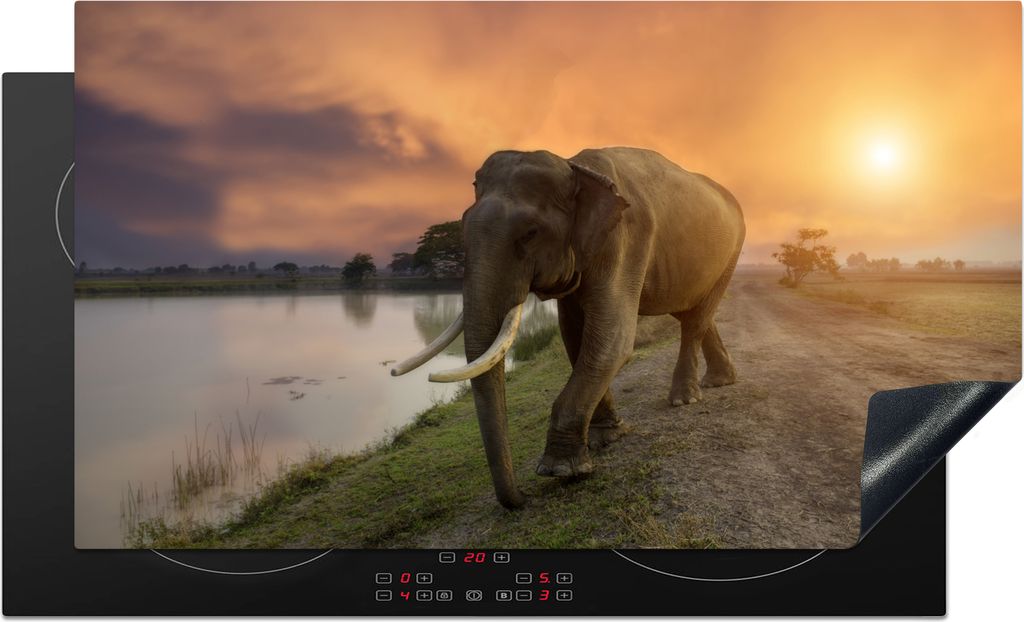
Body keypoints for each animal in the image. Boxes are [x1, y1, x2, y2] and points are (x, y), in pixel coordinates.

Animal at [392, 147, 745, 509]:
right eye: (462, 226)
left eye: (530, 233)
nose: (523, 498)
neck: (575, 167)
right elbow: (575, 336)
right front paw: (606, 437)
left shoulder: (625, 240)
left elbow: (612, 340)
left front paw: (562, 470)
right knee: (689, 310)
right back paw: (720, 380)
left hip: (732, 250)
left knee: (696, 317)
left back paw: (685, 399)